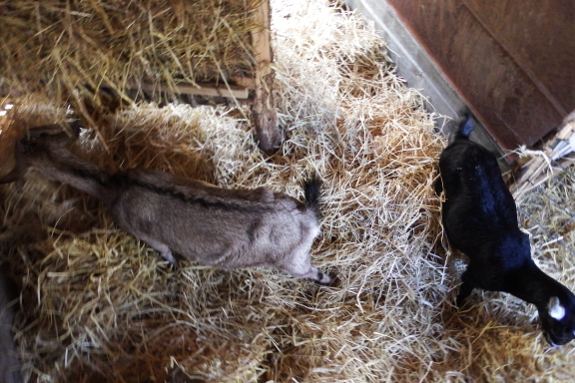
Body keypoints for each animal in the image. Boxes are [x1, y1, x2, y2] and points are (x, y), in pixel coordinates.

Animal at [436, 117, 575, 348]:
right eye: (560, 330)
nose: (554, 344)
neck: (517, 268)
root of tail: (463, 141)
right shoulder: (475, 275)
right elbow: (464, 289)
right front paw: (456, 307)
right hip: (443, 171)